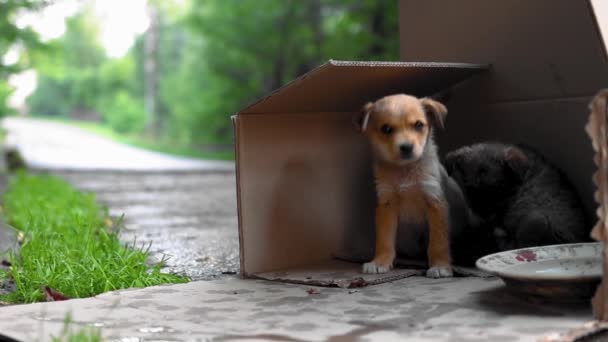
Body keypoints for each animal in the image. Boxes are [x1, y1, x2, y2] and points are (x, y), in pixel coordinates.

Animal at [354, 93, 468, 278]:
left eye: (418, 125)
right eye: (386, 129)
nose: (406, 147)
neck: (405, 170)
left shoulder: (435, 202)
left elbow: (438, 242)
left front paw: (440, 266)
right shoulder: (387, 204)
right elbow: (384, 240)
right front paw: (380, 262)